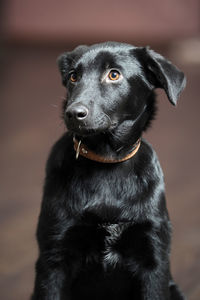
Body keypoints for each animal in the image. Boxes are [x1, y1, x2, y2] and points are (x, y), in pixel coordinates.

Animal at [32, 41, 186, 298]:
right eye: (73, 76)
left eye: (114, 75)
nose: (73, 113)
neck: (106, 160)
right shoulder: (53, 259)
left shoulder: (154, 259)